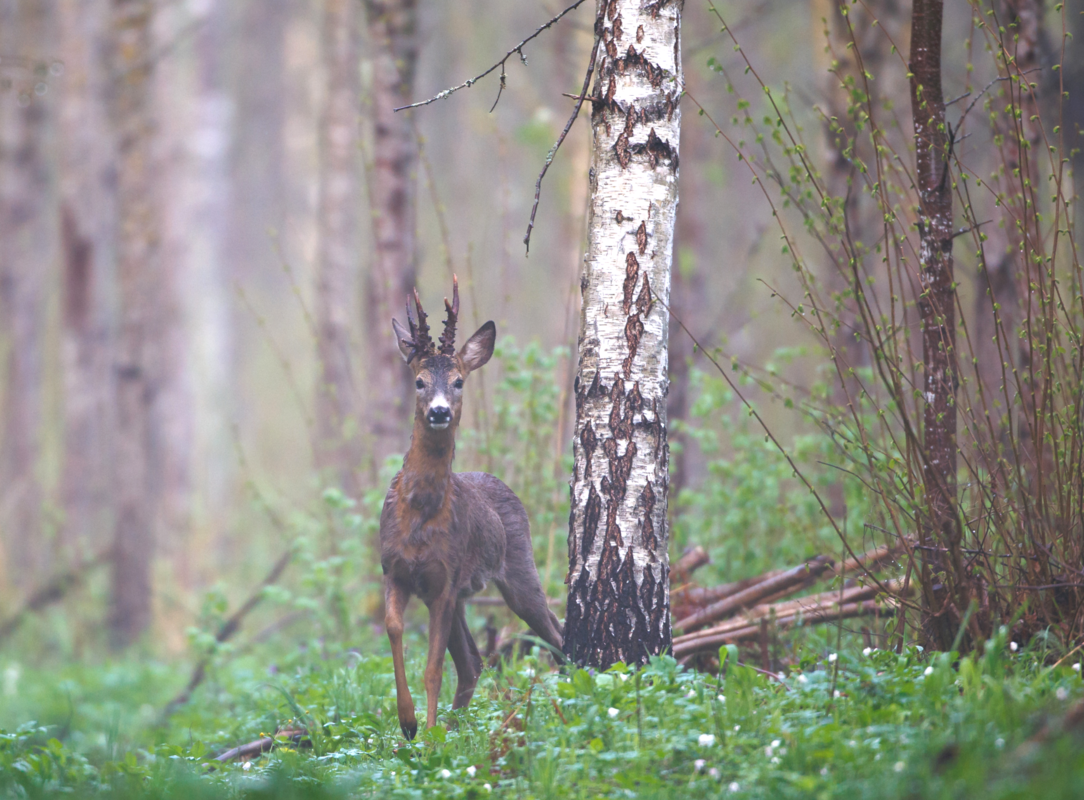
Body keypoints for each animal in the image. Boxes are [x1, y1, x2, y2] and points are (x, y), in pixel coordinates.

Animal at [379, 274, 563, 737]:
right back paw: (454, 726)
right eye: (419, 381)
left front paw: (424, 735)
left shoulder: (444, 581)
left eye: (459, 380)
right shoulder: (395, 571)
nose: (440, 412)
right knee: (473, 663)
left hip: (518, 568)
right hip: (463, 595)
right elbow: (394, 629)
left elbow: (432, 669)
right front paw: (408, 722)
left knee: (554, 631)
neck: (419, 516)